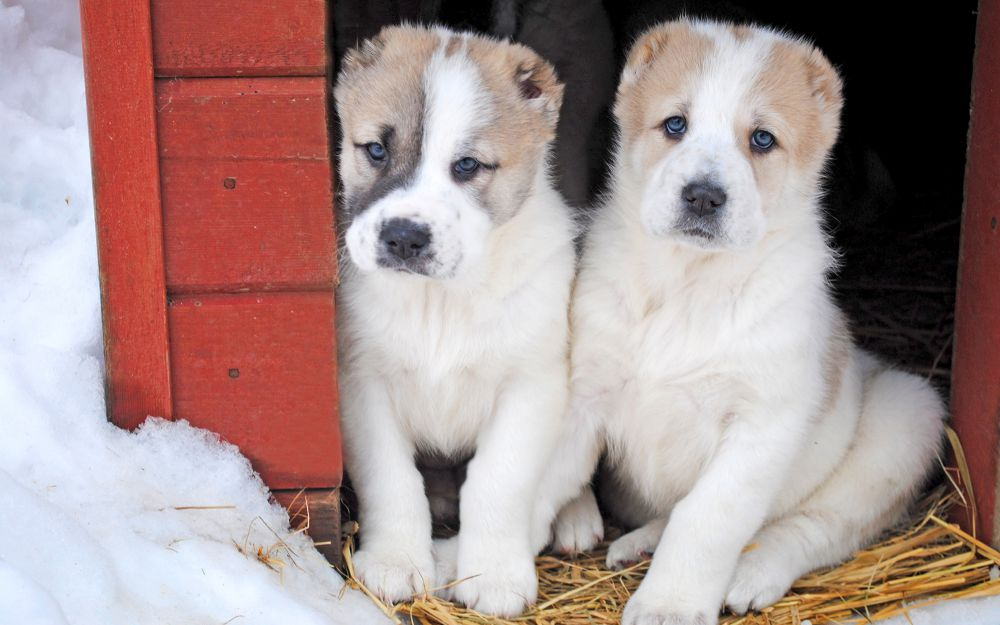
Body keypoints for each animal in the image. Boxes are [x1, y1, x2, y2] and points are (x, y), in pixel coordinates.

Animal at [334, 25, 576, 620]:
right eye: (376, 149)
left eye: (467, 166)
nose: (403, 237)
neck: (439, 301)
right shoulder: (362, 385)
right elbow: (391, 478)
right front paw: (396, 562)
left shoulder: (531, 387)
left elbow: (498, 482)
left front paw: (493, 576)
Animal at [532, 19, 944, 624]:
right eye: (675, 125)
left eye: (763, 140)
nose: (703, 196)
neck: (687, 284)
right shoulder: (584, 390)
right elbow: (529, 477)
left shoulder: (759, 426)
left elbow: (706, 517)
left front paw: (670, 605)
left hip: (907, 412)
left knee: (817, 527)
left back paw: (751, 571)